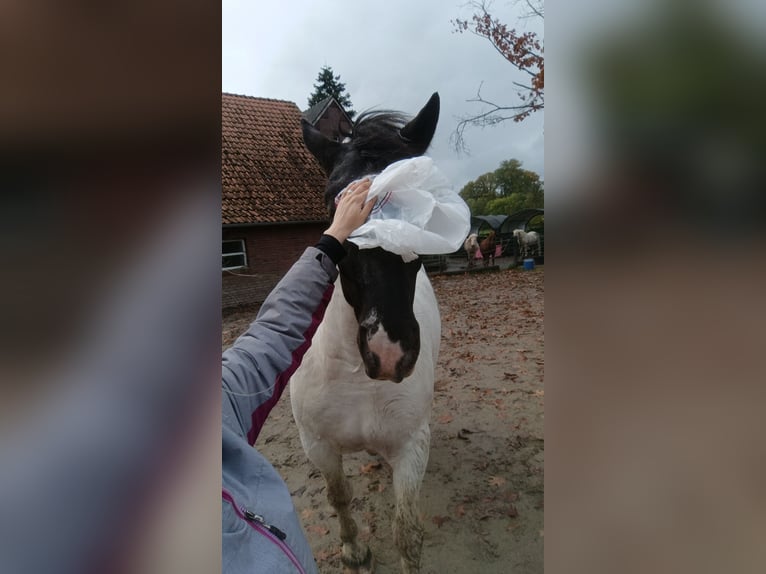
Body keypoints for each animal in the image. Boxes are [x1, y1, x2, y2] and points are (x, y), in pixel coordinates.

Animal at [290, 93, 443, 573]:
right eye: (331, 202)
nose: (388, 350)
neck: (355, 375)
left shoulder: (412, 447)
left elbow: (407, 534)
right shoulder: (318, 446)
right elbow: (339, 497)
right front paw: (355, 551)